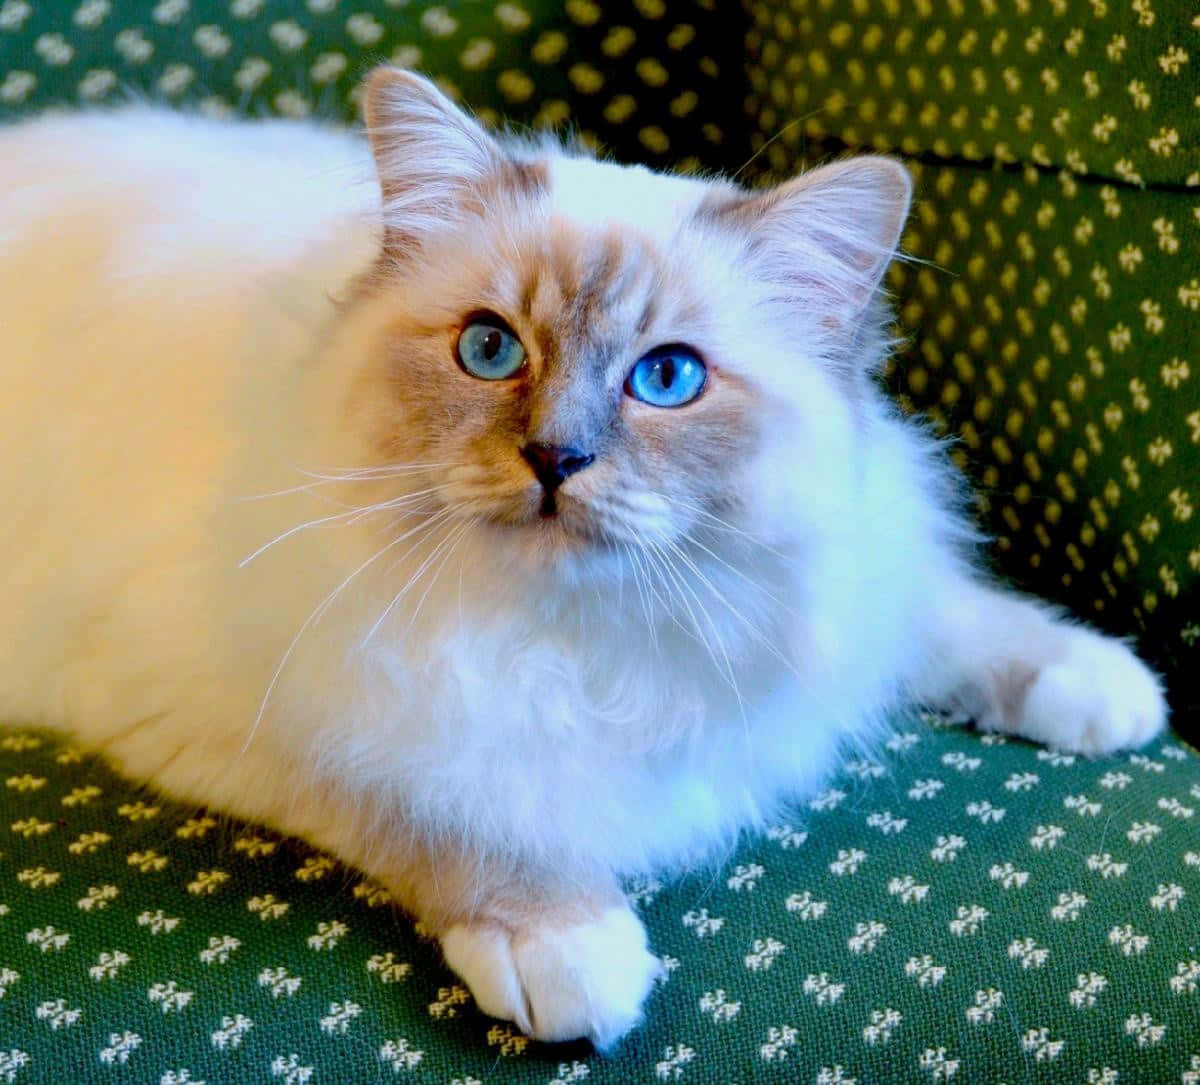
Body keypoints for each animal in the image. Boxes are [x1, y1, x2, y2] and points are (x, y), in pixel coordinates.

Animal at [0, 69, 1166, 1051]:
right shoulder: (262, 708)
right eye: (489, 350)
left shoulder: (834, 589)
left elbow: (951, 612)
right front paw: (566, 943)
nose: (555, 459)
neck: (583, 632)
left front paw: (1106, 690)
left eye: (667, 377)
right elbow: (448, 797)